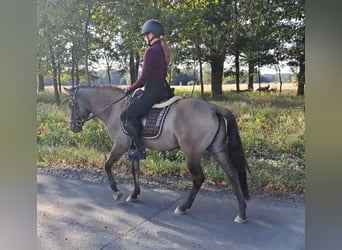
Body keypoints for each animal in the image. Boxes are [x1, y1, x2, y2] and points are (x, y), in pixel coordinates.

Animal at [65, 84, 251, 223]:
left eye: (70, 105)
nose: (72, 127)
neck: (115, 109)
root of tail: (213, 108)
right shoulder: (134, 148)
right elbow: (135, 171)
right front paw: (134, 194)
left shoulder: (120, 145)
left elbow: (107, 165)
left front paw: (116, 192)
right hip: (217, 149)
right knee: (233, 174)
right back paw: (241, 213)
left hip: (192, 153)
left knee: (199, 178)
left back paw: (183, 207)